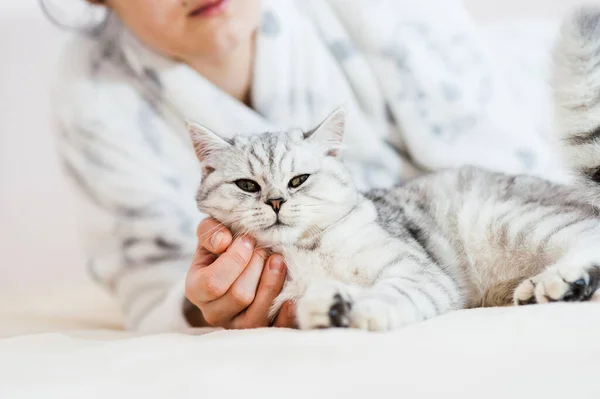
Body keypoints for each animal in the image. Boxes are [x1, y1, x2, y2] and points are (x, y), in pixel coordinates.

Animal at [188, 8, 600, 332]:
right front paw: (331, 308)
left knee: (589, 238)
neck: (304, 249)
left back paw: (562, 280)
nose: (275, 202)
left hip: (511, 220)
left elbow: (390, 294)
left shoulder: (416, 272)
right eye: (247, 185)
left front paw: (354, 307)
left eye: (298, 180)